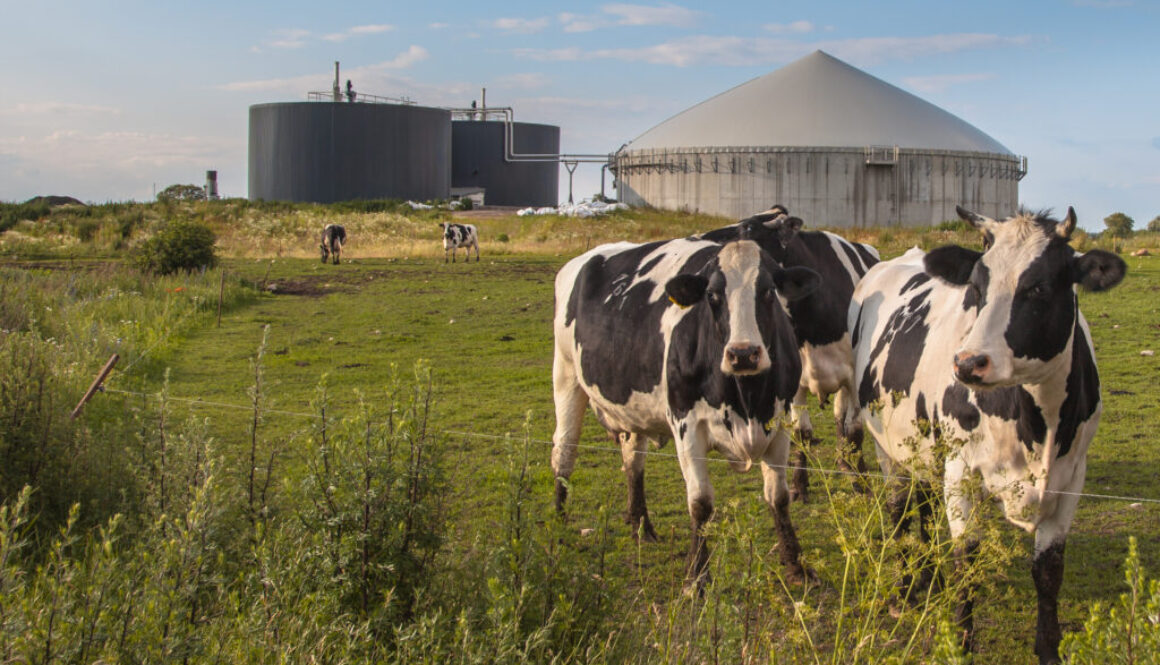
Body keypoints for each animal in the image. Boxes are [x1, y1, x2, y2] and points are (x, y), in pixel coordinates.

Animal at [554, 235, 821, 577]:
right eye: (712, 296)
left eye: (767, 292)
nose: (743, 354)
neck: (746, 399)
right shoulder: (687, 425)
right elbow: (701, 503)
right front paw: (696, 575)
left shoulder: (780, 420)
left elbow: (779, 497)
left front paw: (797, 566)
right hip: (566, 375)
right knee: (564, 451)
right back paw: (559, 526)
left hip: (631, 411)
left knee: (633, 461)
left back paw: (641, 526)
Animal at [849, 205, 1127, 659]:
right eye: (976, 288)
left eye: (1039, 287)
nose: (968, 363)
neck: (1037, 424)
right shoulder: (961, 470)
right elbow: (967, 560)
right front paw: (961, 643)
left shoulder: (1072, 477)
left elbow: (1049, 570)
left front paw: (1048, 649)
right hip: (886, 446)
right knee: (899, 510)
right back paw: (906, 587)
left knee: (924, 504)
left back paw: (929, 577)